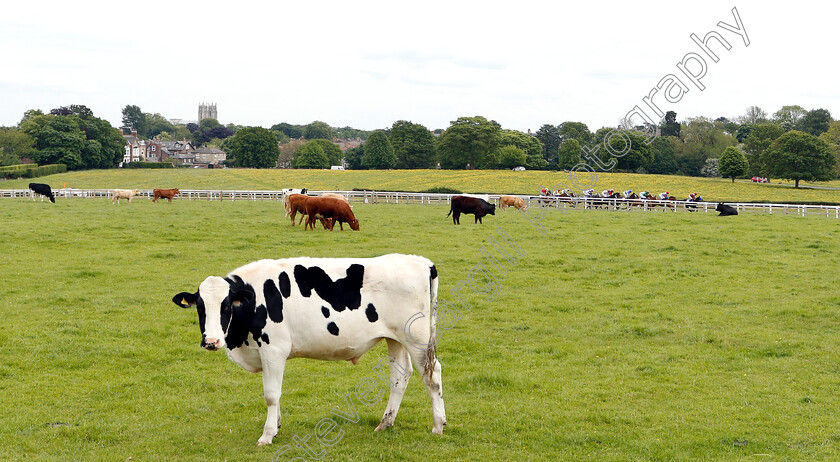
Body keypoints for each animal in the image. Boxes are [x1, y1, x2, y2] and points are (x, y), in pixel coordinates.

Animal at [171, 254, 446, 446]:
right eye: (200, 307)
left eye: (227, 305)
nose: (211, 341)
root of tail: (422, 262)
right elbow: (275, 392)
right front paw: (276, 425)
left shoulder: (274, 348)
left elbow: (271, 394)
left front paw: (267, 435)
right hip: (396, 339)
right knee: (400, 377)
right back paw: (385, 423)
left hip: (418, 339)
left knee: (432, 376)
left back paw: (438, 426)